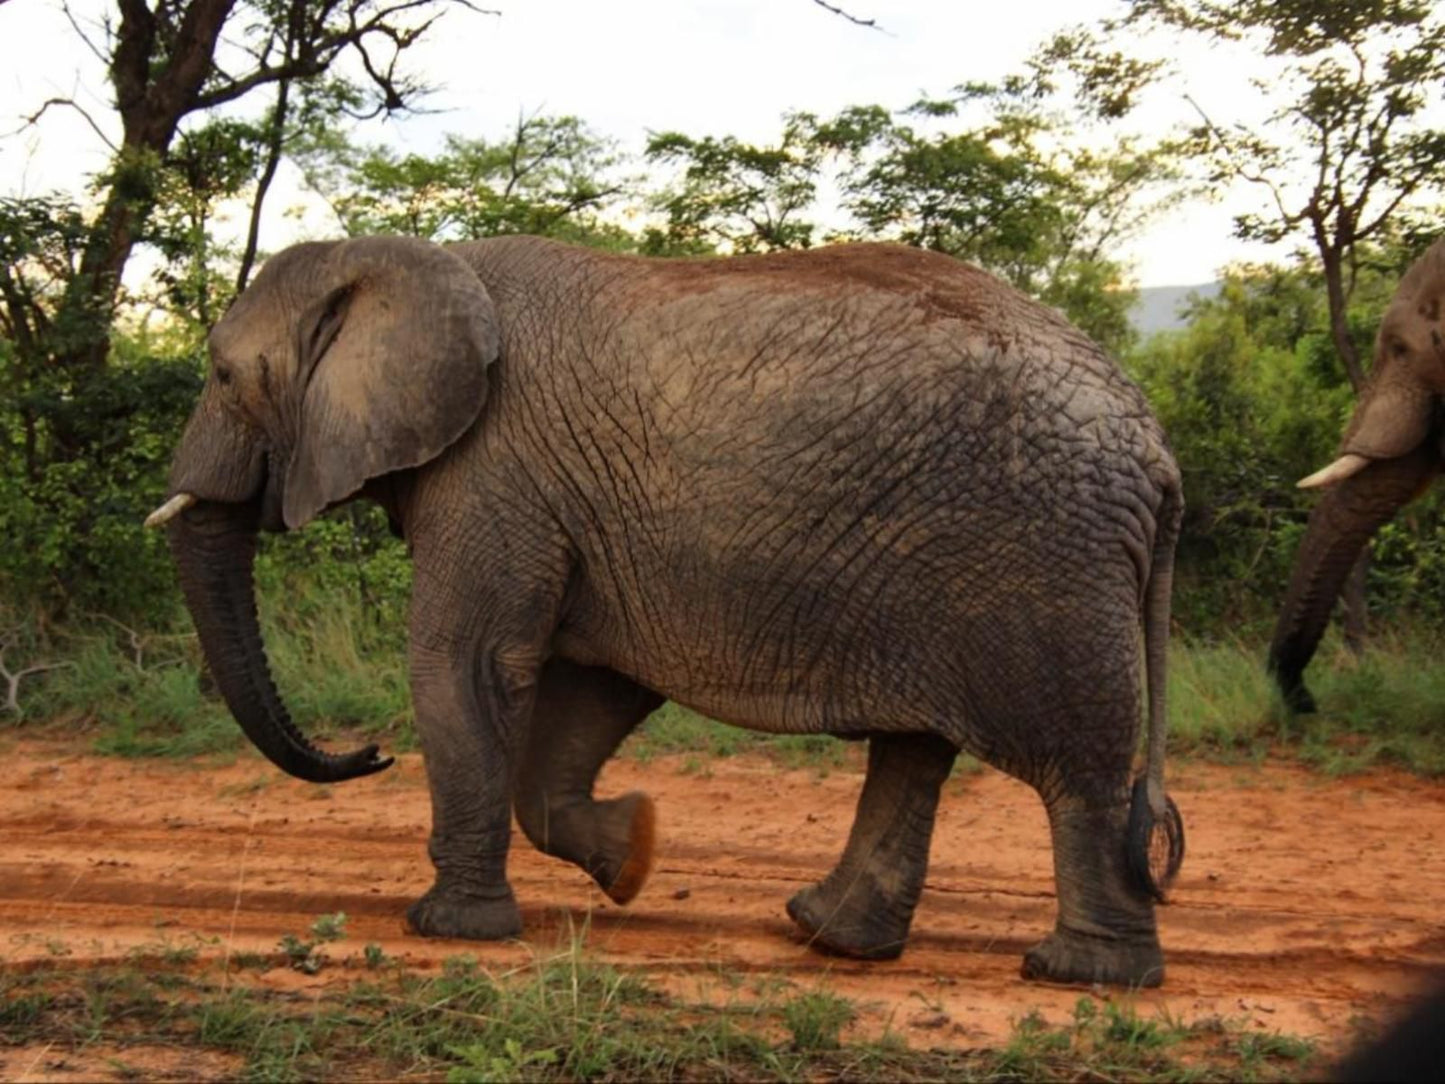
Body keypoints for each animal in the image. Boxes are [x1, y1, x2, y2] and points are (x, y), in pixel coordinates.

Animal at [146, 237, 1184, 994]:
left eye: (223, 376)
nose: (366, 755)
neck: (411, 258)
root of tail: (1158, 449)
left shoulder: (494, 470)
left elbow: (467, 665)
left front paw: (451, 930)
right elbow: (592, 690)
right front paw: (635, 855)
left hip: (1039, 562)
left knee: (1075, 768)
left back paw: (1083, 976)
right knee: (913, 749)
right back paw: (828, 936)